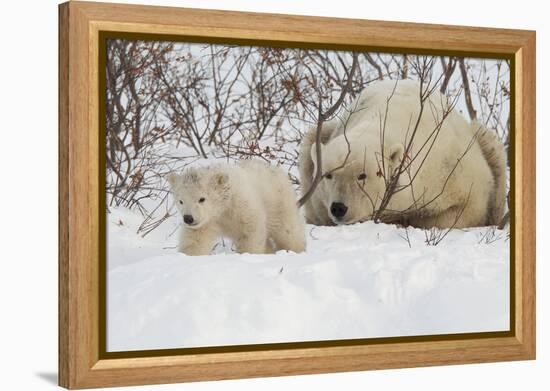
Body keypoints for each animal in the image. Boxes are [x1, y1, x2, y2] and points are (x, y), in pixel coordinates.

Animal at [168, 160, 306, 256]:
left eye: (202, 199)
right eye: (181, 201)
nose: (188, 218)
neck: (223, 208)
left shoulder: (242, 208)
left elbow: (250, 233)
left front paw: (248, 254)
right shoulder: (207, 221)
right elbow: (195, 240)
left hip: (278, 202)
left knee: (287, 231)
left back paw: (296, 250)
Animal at [302, 81, 508, 231]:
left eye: (362, 175)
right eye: (328, 175)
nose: (338, 208)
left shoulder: (454, 171)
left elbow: (466, 209)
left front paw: (409, 219)